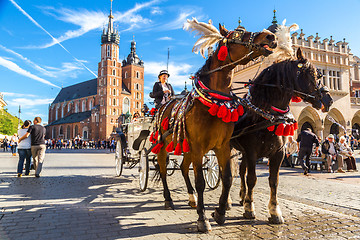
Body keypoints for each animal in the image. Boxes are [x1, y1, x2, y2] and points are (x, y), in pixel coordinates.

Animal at [150, 18, 278, 232]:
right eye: (237, 34)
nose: (271, 36)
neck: (214, 102)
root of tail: (163, 105)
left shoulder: (222, 146)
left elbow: (227, 178)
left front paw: (219, 213)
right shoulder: (198, 146)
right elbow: (201, 181)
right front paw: (203, 219)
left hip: (187, 148)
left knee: (183, 168)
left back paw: (192, 199)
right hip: (163, 145)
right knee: (162, 169)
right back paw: (168, 199)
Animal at [231, 48, 332, 223]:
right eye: (314, 75)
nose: (329, 100)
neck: (266, 115)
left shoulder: (278, 153)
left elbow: (274, 181)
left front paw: (274, 211)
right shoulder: (251, 152)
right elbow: (252, 179)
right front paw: (250, 208)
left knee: (241, 170)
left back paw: (242, 196)